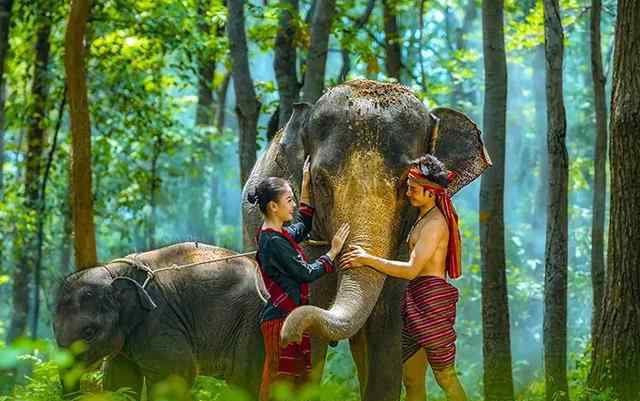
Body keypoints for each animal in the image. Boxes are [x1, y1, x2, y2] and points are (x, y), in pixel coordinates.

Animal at [52, 242, 264, 400]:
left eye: (89, 333)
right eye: (54, 330)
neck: (116, 271)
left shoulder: (157, 320)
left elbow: (175, 376)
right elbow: (121, 382)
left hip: (251, 323)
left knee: (244, 381)